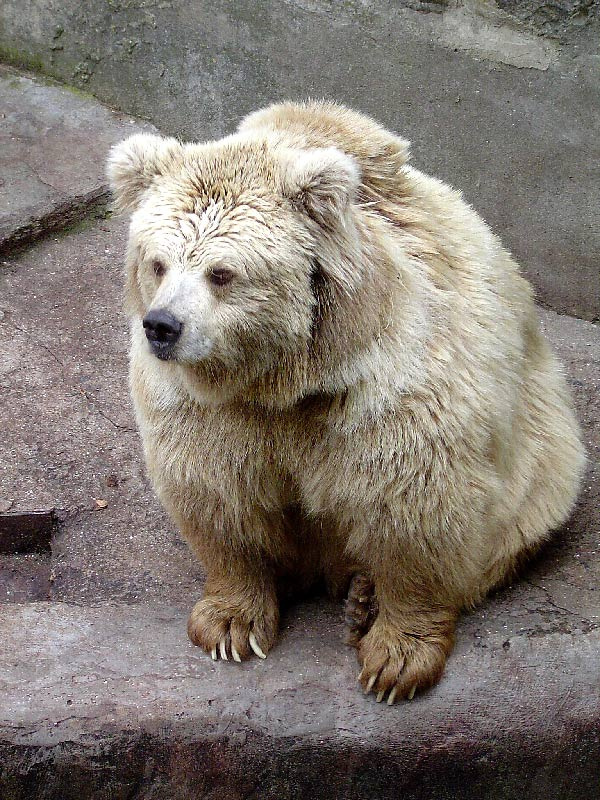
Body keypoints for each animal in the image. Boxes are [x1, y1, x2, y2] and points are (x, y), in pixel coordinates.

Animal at [107, 101, 585, 704]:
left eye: (222, 272)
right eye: (158, 263)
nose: (162, 326)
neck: (286, 377)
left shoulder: (387, 389)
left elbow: (414, 503)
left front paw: (397, 658)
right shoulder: (211, 409)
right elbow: (218, 493)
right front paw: (230, 624)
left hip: (544, 446)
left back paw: (363, 598)